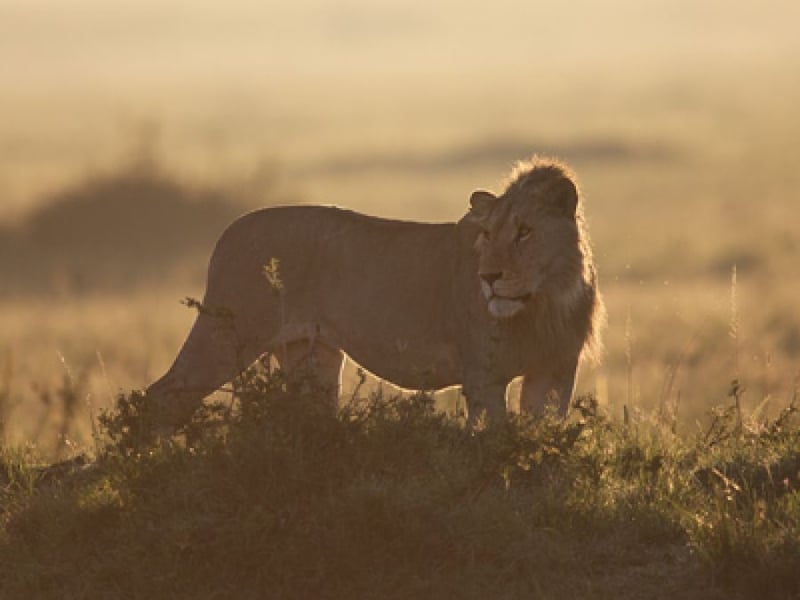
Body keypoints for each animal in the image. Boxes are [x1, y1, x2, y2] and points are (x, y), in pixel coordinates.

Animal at [147, 157, 604, 424]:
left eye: (525, 232)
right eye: (488, 234)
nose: (489, 277)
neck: (545, 301)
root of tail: (231, 229)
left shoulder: (555, 371)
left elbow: (542, 438)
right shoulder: (484, 377)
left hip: (311, 357)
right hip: (227, 336)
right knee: (160, 398)